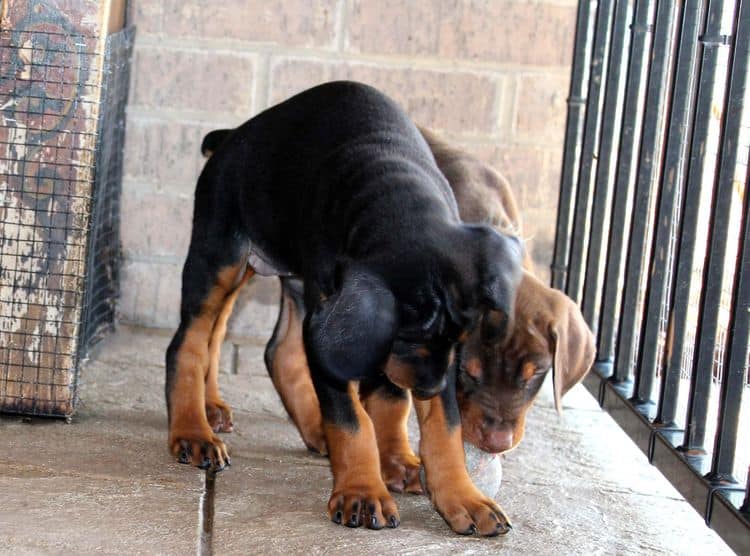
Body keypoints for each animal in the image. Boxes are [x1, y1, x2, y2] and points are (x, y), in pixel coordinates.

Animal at [166, 81, 524, 536]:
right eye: (411, 340)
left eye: (459, 340)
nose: (429, 389)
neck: (394, 189)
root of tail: (231, 137)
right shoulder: (342, 333)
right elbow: (353, 419)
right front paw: (363, 492)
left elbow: (436, 424)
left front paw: (460, 496)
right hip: (222, 255)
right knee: (190, 341)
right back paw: (194, 430)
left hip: (285, 278)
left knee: (269, 348)